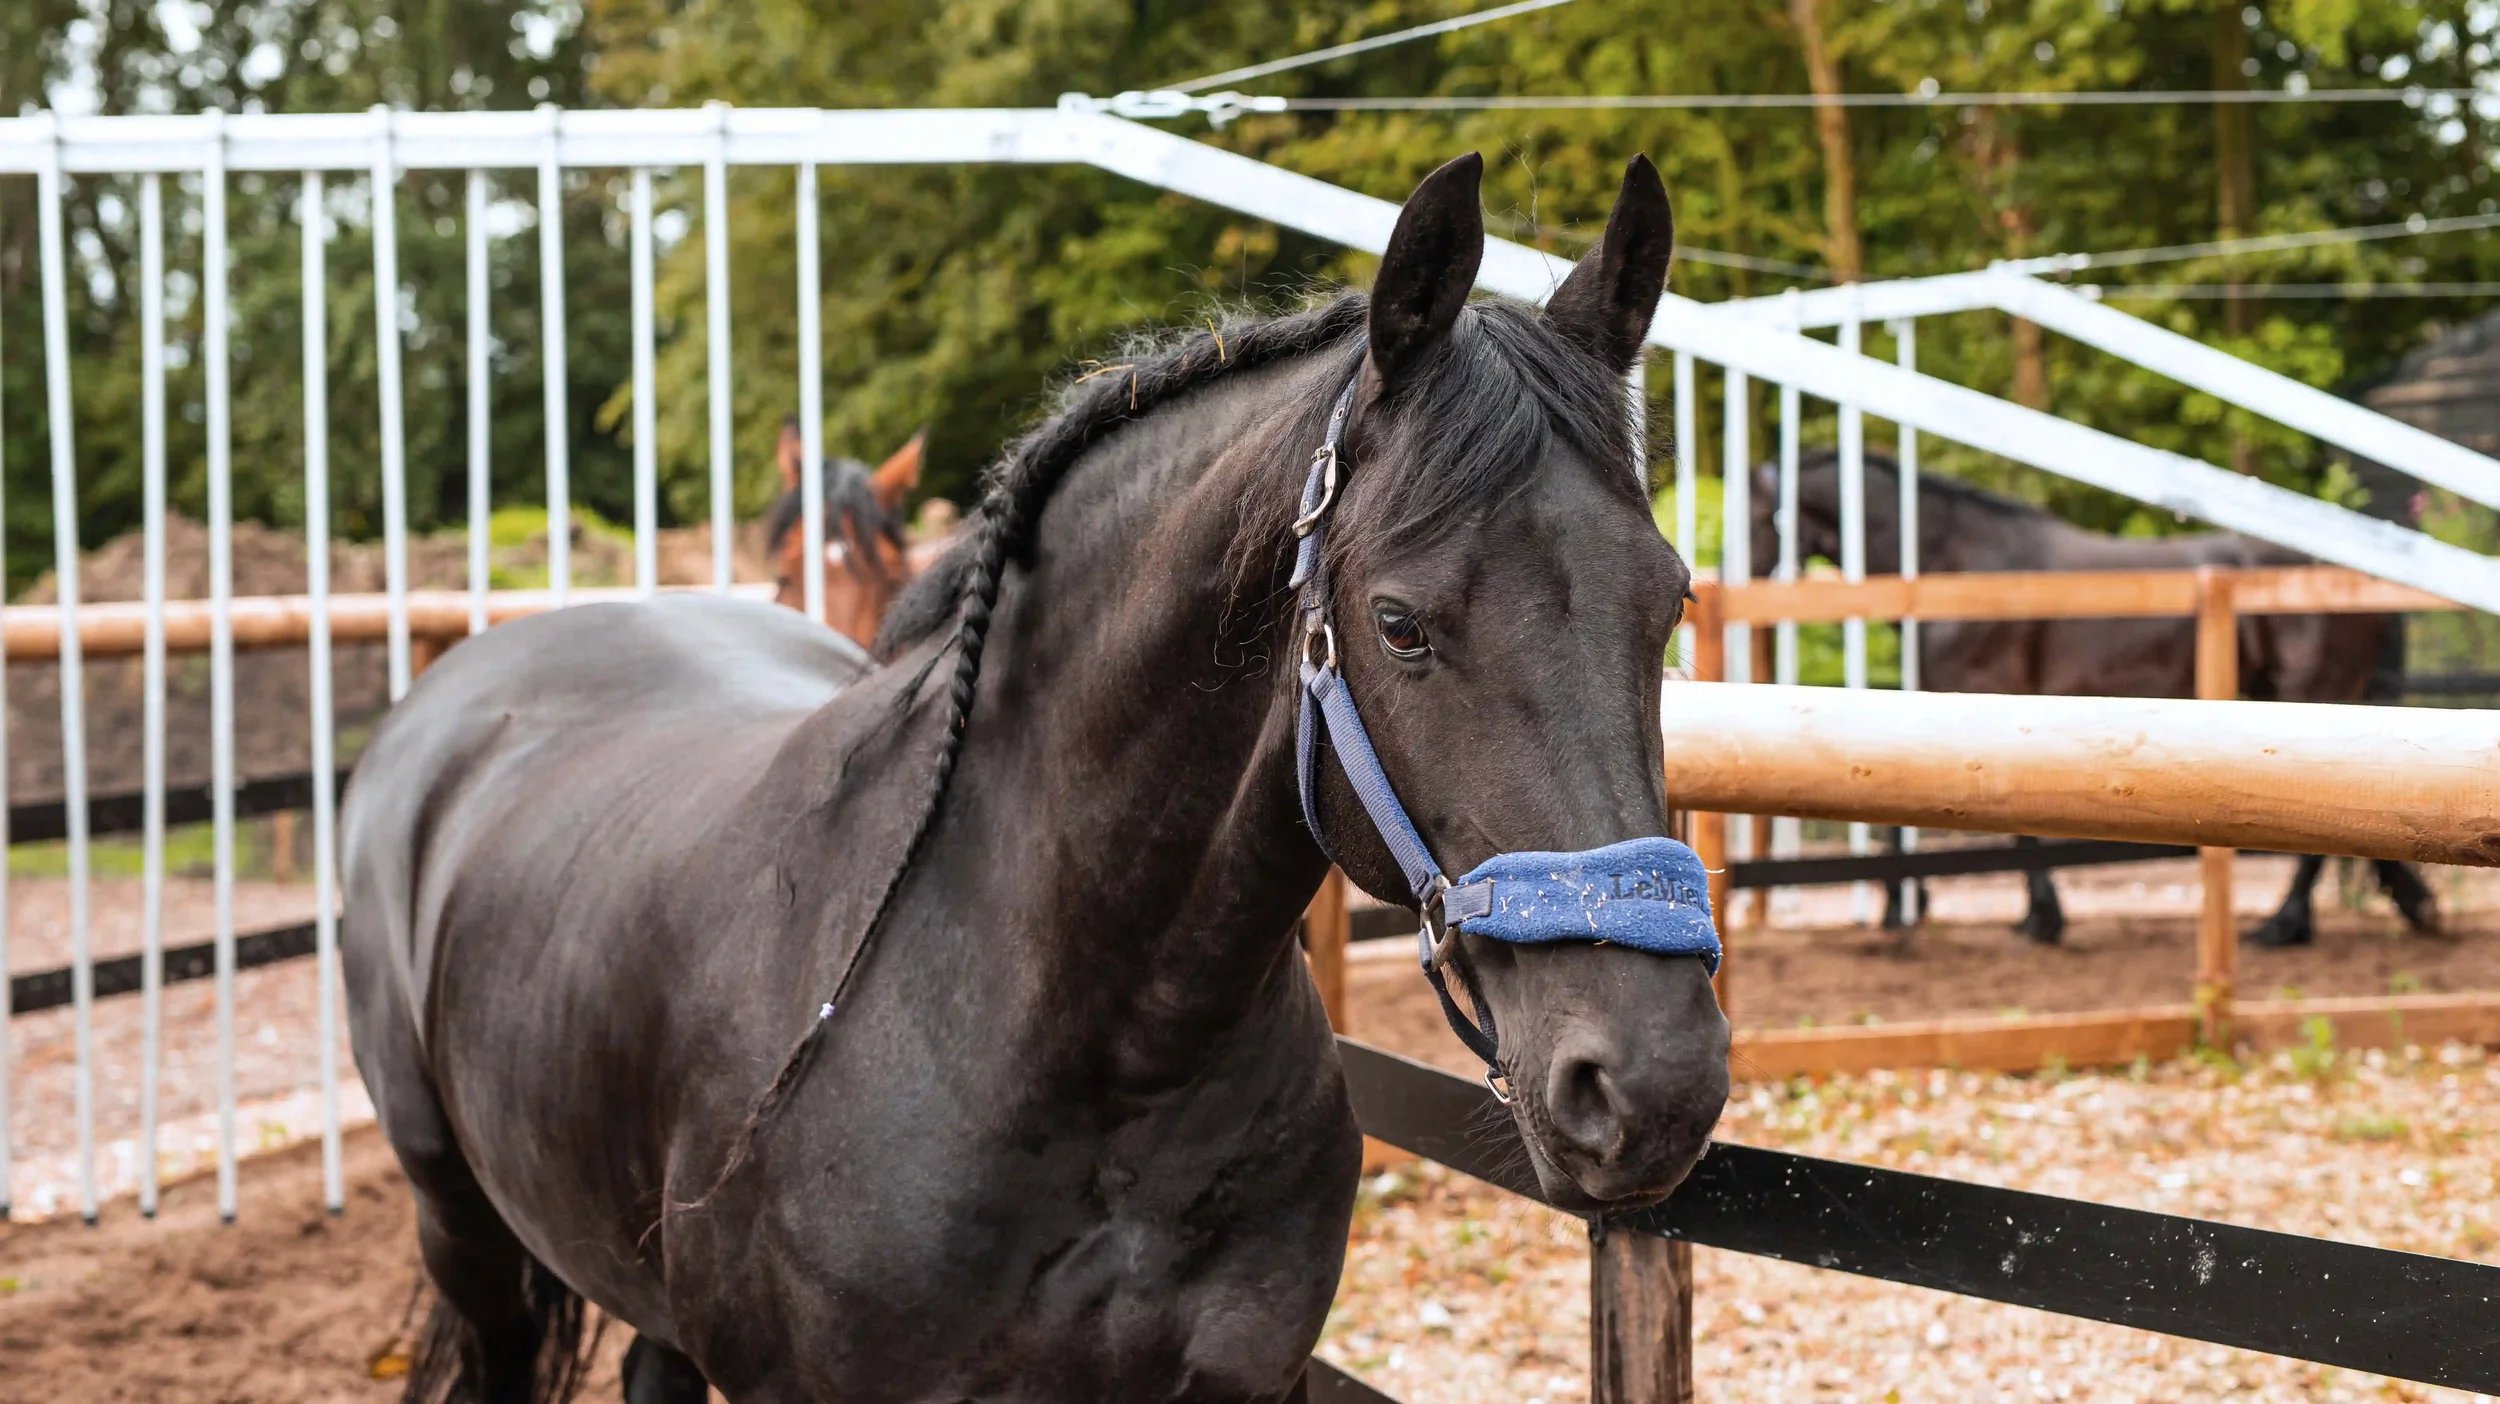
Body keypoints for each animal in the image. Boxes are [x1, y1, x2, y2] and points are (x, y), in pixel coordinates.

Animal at [1750, 449, 2439, 948]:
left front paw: (2029, 917)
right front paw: (1913, 903)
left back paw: (2283, 925)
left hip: (2312, 700)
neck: (1961, 567)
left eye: (1758, 515)